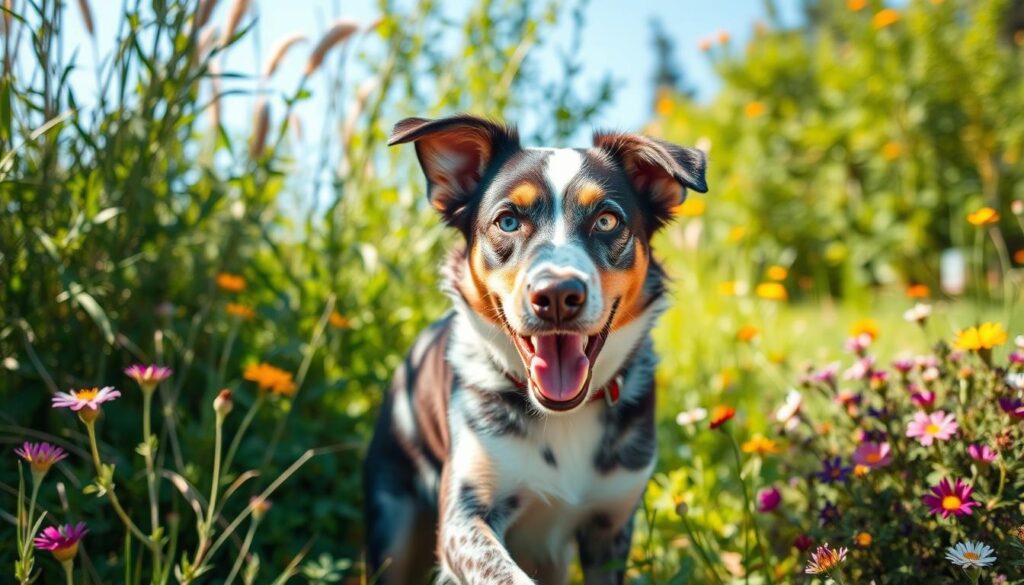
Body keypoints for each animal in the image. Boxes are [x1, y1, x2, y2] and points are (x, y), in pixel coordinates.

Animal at [364, 114, 708, 585]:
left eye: (606, 221)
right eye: (508, 221)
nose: (558, 294)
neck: (563, 418)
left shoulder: (611, 526)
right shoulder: (464, 518)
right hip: (392, 528)